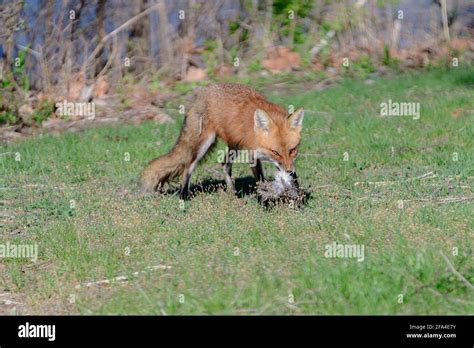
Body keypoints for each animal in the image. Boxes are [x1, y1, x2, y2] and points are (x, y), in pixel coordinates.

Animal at [141, 82, 304, 200]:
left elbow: (290, 177)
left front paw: (295, 196)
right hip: (204, 144)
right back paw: (183, 196)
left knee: (224, 164)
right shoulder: (253, 155)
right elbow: (260, 180)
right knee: (188, 167)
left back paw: (233, 194)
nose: (289, 171)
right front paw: (265, 198)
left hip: (234, 145)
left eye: (292, 150)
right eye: (275, 152)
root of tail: (202, 93)